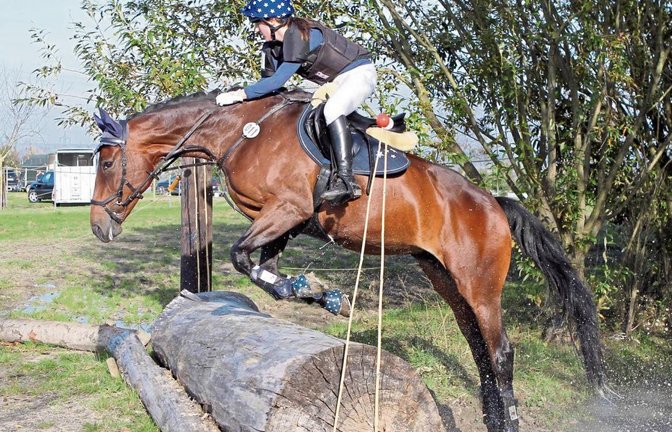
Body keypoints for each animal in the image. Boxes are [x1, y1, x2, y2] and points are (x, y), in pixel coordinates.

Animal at [89, 89, 605, 432]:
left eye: (108, 164)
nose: (98, 228)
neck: (240, 133)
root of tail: (493, 202)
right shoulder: (287, 219)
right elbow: (259, 263)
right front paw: (316, 293)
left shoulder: (287, 209)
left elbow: (240, 257)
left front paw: (308, 291)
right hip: (447, 282)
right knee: (478, 350)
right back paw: (491, 418)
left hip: (480, 286)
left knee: (500, 354)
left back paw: (509, 420)